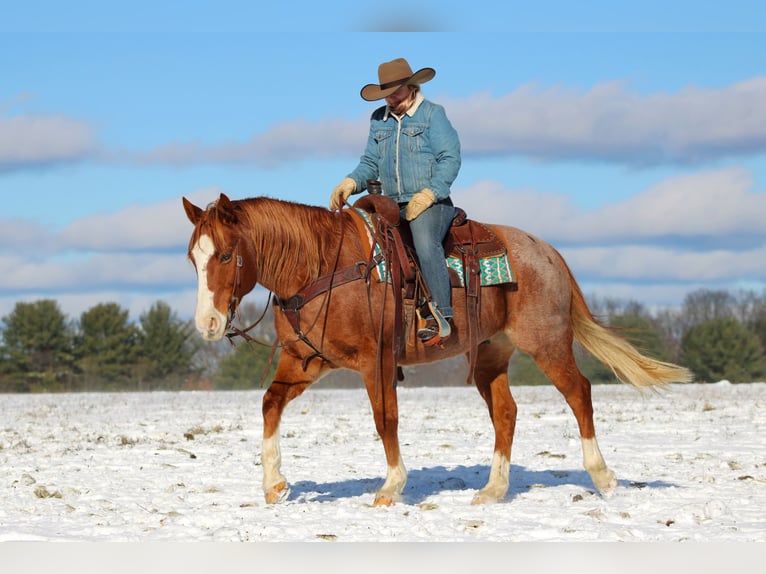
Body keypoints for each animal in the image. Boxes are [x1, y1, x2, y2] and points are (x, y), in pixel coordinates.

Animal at [182, 192, 693, 506]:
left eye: (225, 255)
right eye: (193, 258)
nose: (207, 324)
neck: (323, 265)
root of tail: (548, 252)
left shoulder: (376, 361)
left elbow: (385, 419)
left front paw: (391, 486)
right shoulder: (307, 361)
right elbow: (270, 404)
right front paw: (275, 485)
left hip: (547, 343)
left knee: (580, 393)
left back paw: (604, 478)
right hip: (490, 353)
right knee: (506, 412)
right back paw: (493, 490)